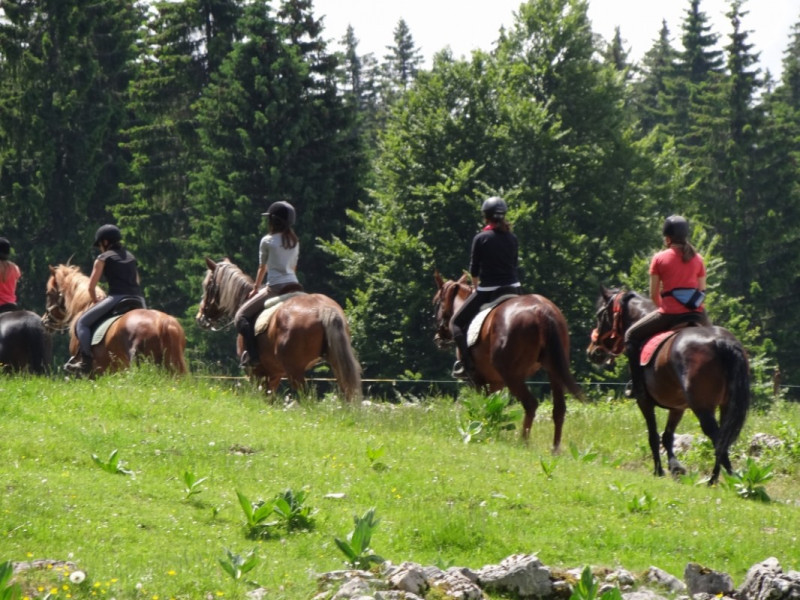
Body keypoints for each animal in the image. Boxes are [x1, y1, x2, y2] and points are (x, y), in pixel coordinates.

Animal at [197, 255, 362, 400]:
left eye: (208, 286)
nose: (200, 317)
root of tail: (323, 308)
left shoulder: (256, 372)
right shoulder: (275, 372)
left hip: (294, 370)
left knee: (307, 398)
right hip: (335, 362)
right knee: (347, 392)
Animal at [434, 272, 584, 450]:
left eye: (437, 302)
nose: (438, 337)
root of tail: (541, 310)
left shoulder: (477, 380)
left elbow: (482, 405)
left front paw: (480, 431)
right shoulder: (496, 381)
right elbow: (493, 406)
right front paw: (491, 430)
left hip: (511, 375)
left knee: (530, 404)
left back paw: (523, 442)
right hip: (553, 370)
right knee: (559, 408)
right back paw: (555, 448)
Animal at [580, 284, 752, 482]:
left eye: (600, 315)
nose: (593, 351)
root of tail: (721, 342)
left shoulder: (644, 402)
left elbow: (653, 436)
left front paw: (659, 470)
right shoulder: (677, 407)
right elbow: (667, 437)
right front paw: (675, 467)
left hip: (702, 407)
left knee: (716, 437)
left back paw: (722, 478)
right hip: (726, 405)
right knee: (723, 436)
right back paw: (720, 477)